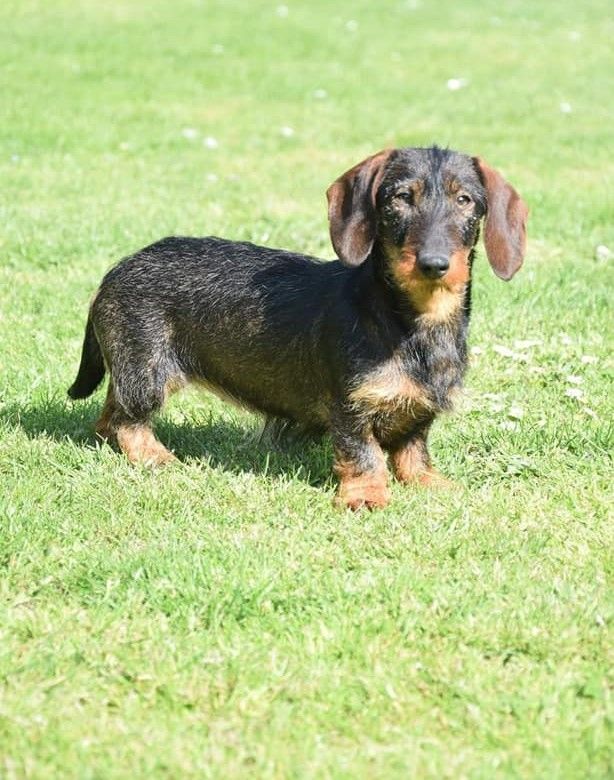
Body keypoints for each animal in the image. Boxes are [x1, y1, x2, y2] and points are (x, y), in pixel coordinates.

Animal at [68, 148, 528, 512]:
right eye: (401, 198)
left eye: (464, 200)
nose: (434, 264)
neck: (412, 322)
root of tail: (118, 269)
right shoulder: (349, 405)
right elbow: (364, 453)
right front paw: (365, 495)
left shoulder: (421, 409)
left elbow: (413, 450)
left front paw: (428, 483)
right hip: (147, 372)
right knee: (128, 422)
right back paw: (157, 458)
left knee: (109, 415)